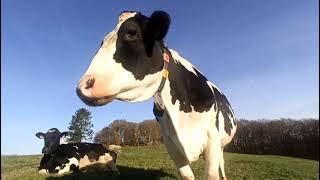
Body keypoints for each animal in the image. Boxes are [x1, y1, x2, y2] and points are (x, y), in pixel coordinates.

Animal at [76, 10, 238, 179]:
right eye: (102, 41)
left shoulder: (213, 139)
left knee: (221, 162)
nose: (84, 85)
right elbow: (187, 175)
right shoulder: (171, 144)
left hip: (221, 144)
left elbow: (212, 174)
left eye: (132, 32)